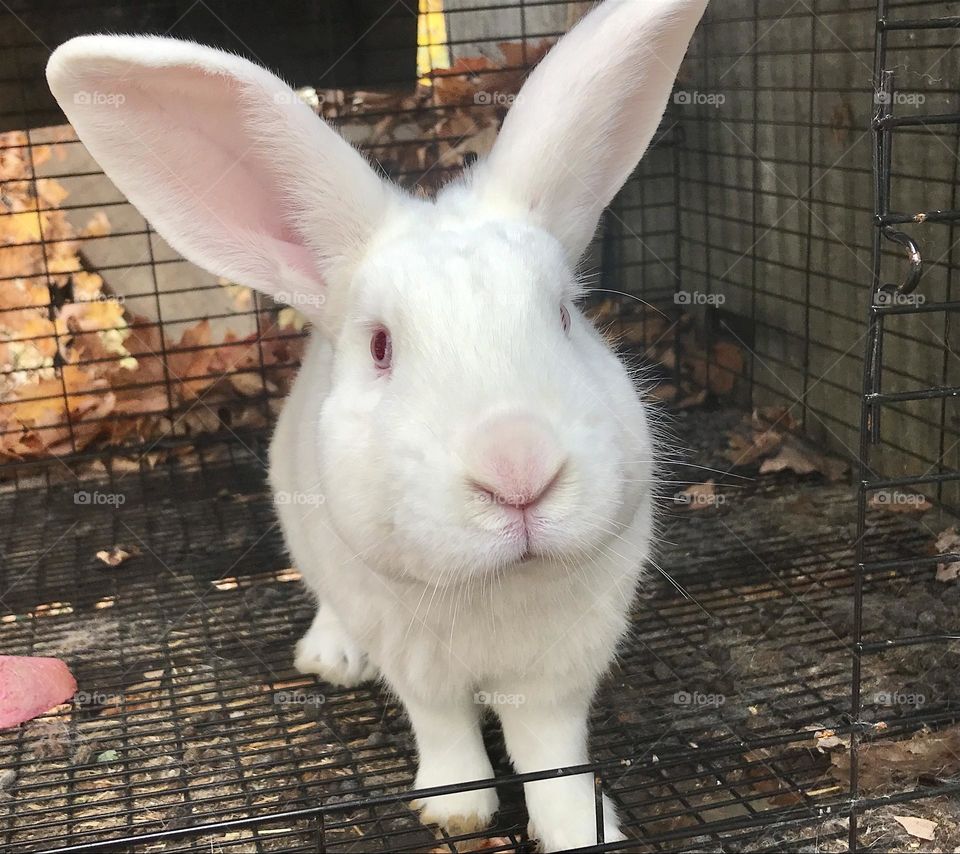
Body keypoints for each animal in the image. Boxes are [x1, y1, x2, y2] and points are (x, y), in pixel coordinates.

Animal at [46, 0, 707, 849]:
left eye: (566, 316)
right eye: (381, 346)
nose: (518, 471)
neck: (492, 590)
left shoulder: (557, 676)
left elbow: (553, 761)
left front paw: (582, 833)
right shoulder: (417, 664)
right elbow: (444, 729)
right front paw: (456, 808)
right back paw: (330, 657)